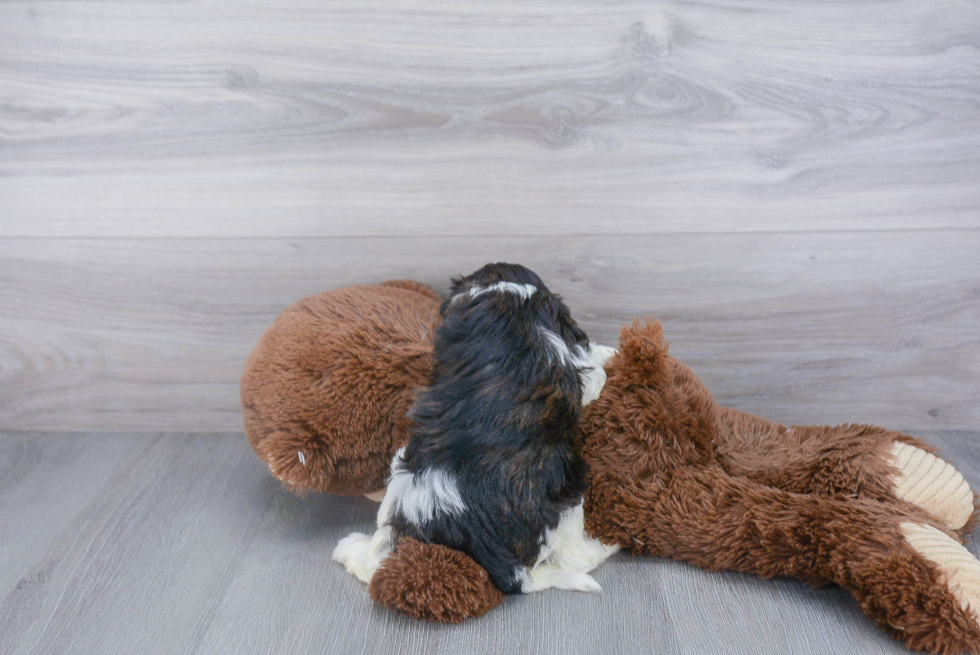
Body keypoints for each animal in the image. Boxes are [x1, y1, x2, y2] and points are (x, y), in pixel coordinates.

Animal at [334, 264, 616, 596]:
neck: (507, 295)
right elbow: (592, 369)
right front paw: (608, 352)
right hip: (567, 496)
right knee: (575, 558)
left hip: (403, 473)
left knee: (379, 549)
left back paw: (352, 548)